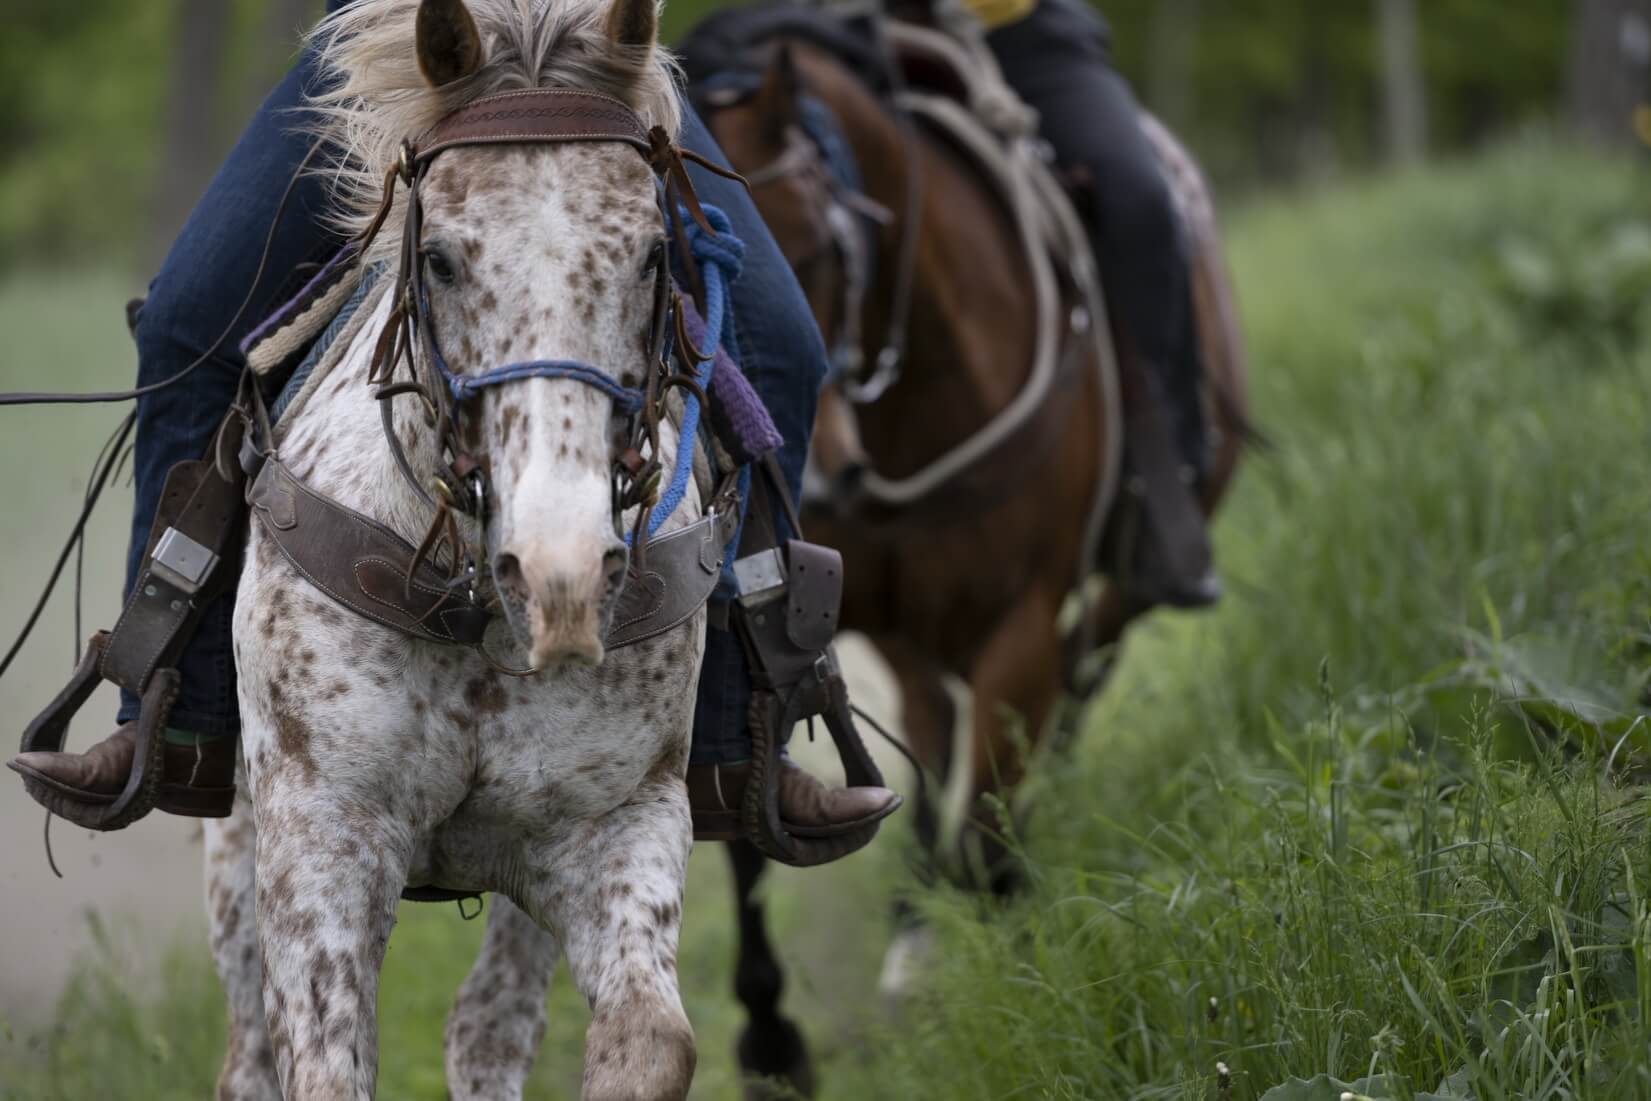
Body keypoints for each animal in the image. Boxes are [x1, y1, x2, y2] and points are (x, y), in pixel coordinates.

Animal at [198, 2, 703, 1101]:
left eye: (653, 254)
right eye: (441, 259)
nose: (563, 576)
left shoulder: (616, 823)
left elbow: (651, 1041)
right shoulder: (322, 834)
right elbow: (322, 1060)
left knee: (490, 1024)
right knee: (247, 1051)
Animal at [690, 21, 1241, 1096]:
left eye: (820, 252)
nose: (816, 474)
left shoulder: (1019, 622)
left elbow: (987, 802)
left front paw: (1000, 959)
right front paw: (774, 1038)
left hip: (1124, 579)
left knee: (1076, 675)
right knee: (935, 732)